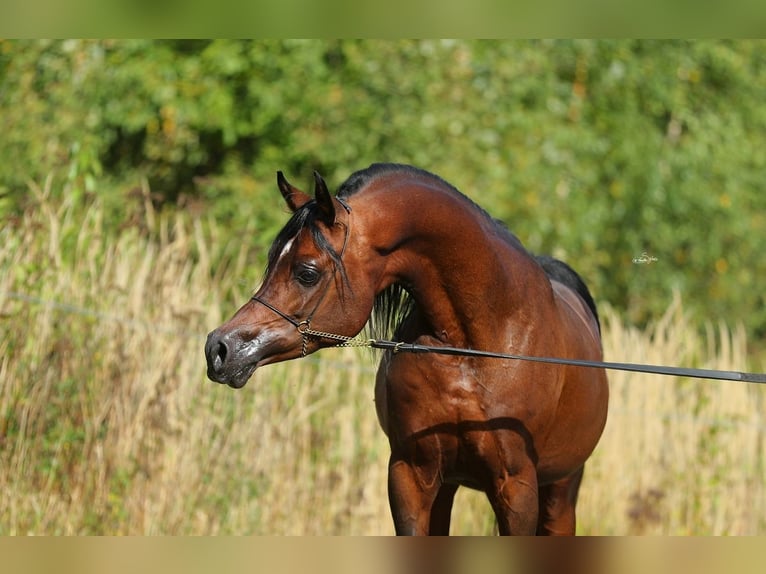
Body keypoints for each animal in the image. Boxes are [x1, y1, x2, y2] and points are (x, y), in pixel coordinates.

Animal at [206, 164, 612, 536]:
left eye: (307, 272)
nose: (219, 348)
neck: (475, 348)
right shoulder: (411, 475)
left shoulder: (516, 485)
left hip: (560, 491)